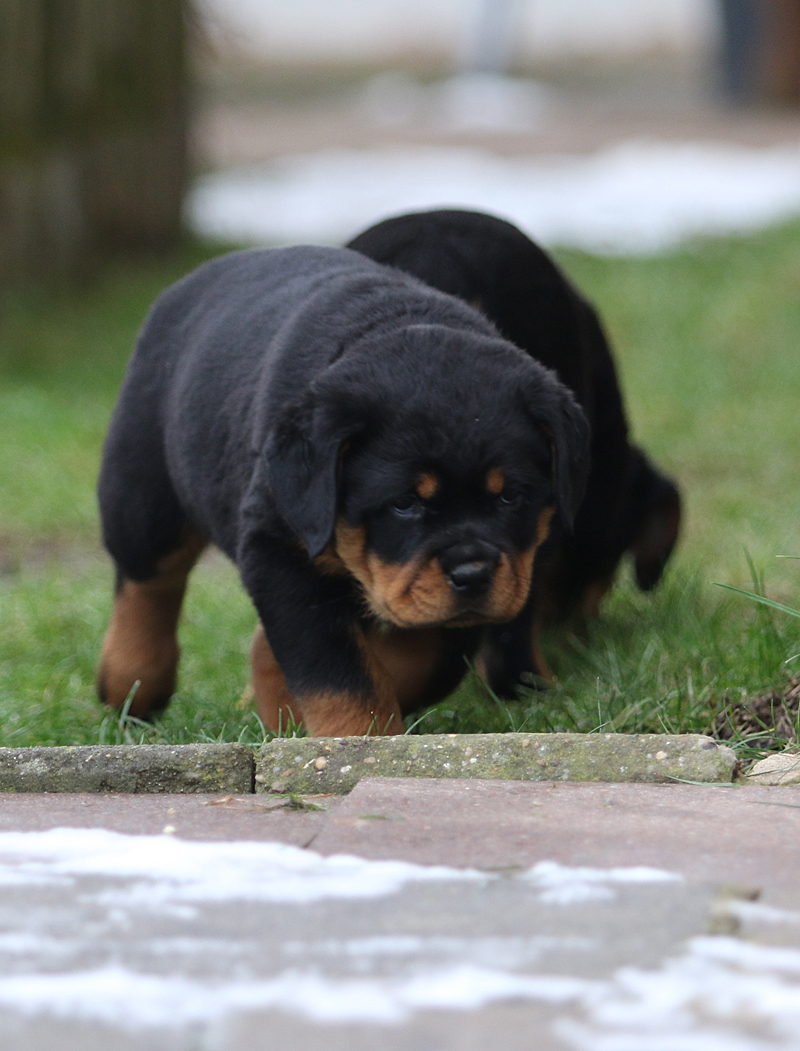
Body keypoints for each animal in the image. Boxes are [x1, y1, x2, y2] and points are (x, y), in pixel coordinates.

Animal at [96, 245, 590, 736]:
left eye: (510, 497)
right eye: (404, 504)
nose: (472, 574)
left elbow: (425, 657)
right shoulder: (279, 548)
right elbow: (341, 673)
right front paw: (362, 737)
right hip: (144, 494)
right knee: (146, 585)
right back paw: (130, 684)